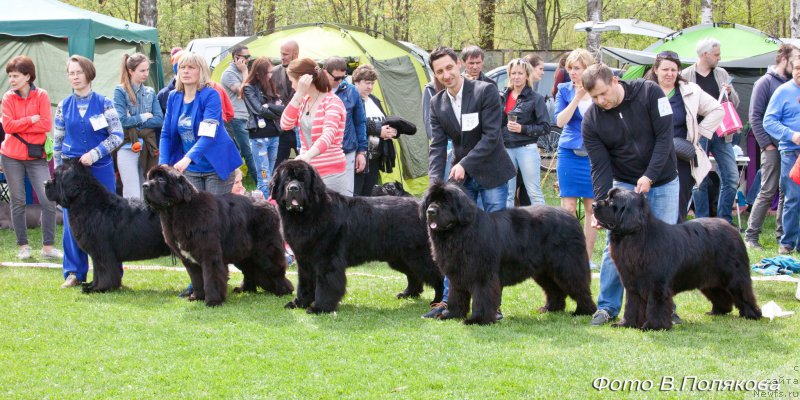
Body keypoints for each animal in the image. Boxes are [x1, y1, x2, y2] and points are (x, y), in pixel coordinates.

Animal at [44, 159, 171, 294]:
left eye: (56, 177)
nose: (44, 183)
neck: (89, 203)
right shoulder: (96, 252)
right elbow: (97, 271)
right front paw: (91, 285)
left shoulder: (102, 250)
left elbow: (104, 271)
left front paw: (99, 288)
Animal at [144, 165, 294, 306]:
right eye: (149, 178)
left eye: (161, 179)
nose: (144, 185)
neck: (176, 212)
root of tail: (269, 204)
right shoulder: (189, 260)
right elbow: (197, 280)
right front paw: (197, 297)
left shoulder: (209, 254)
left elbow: (211, 277)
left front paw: (213, 301)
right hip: (243, 253)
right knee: (250, 270)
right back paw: (245, 289)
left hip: (266, 251)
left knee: (276, 271)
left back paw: (283, 291)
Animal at [268, 161, 444, 314]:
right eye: (287, 179)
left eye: (302, 180)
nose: (293, 188)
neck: (307, 215)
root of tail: (423, 207)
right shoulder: (304, 259)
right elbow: (305, 283)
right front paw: (299, 303)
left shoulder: (327, 259)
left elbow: (325, 284)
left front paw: (320, 307)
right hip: (400, 257)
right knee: (414, 275)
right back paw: (408, 293)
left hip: (418, 256)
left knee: (439, 275)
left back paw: (438, 301)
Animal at [422, 181, 596, 324]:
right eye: (431, 201)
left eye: (446, 201)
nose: (430, 211)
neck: (459, 232)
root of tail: (572, 218)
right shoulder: (457, 273)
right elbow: (456, 295)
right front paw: (451, 314)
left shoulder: (482, 274)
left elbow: (482, 297)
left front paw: (477, 320)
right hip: (544, 270)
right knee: (555, 289)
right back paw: (550, 308)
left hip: (567, 266)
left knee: (579, 286)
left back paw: (584, 311)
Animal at [592, 189, 764, 330]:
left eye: (612, 202)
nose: (593, 204)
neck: (636, 236)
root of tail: (732, 228)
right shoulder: (632, 283)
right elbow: (631, 305)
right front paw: (627, 324)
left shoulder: (657, 285)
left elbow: (655, 306)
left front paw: (653, 326)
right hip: (708, 279)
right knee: (721, 295)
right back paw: (718, 312)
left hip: (733, 276)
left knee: (744, 293)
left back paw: (753, 314)